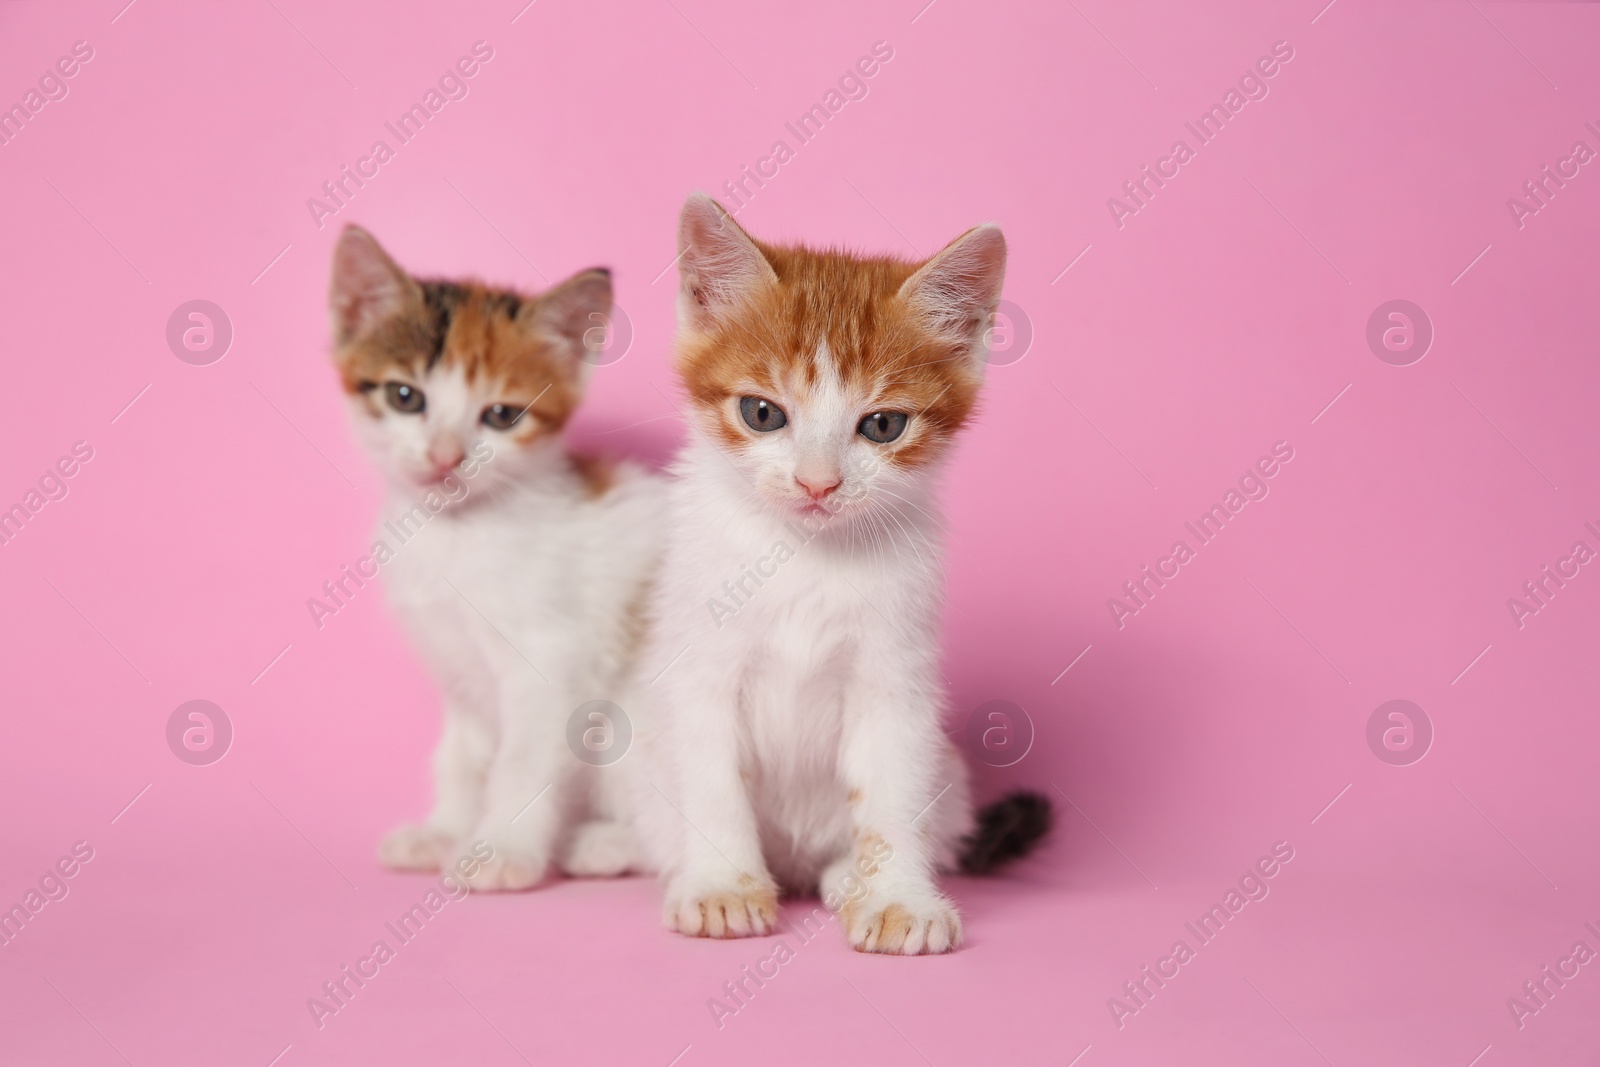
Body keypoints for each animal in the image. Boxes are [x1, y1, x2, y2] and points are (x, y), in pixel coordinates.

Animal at [329, 227, 662, 895]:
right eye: (405, 397)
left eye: (502, 415)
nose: (445, 456)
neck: (456, 535)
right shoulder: (456, 663)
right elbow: (464, 754)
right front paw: (445, 830)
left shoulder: (551, 657)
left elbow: (521, 759)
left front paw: (502, 851)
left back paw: (603, 844)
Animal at [630, 195, 1056, 953]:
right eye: (762, 412)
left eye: (882, 425)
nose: (818, 483)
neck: (806, 555)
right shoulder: (698, 669)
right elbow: (712, 778)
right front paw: (721, 885)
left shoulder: (897, 679)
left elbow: (891, 790)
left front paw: (898, 898)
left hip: (949, 771)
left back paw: (841, 876)